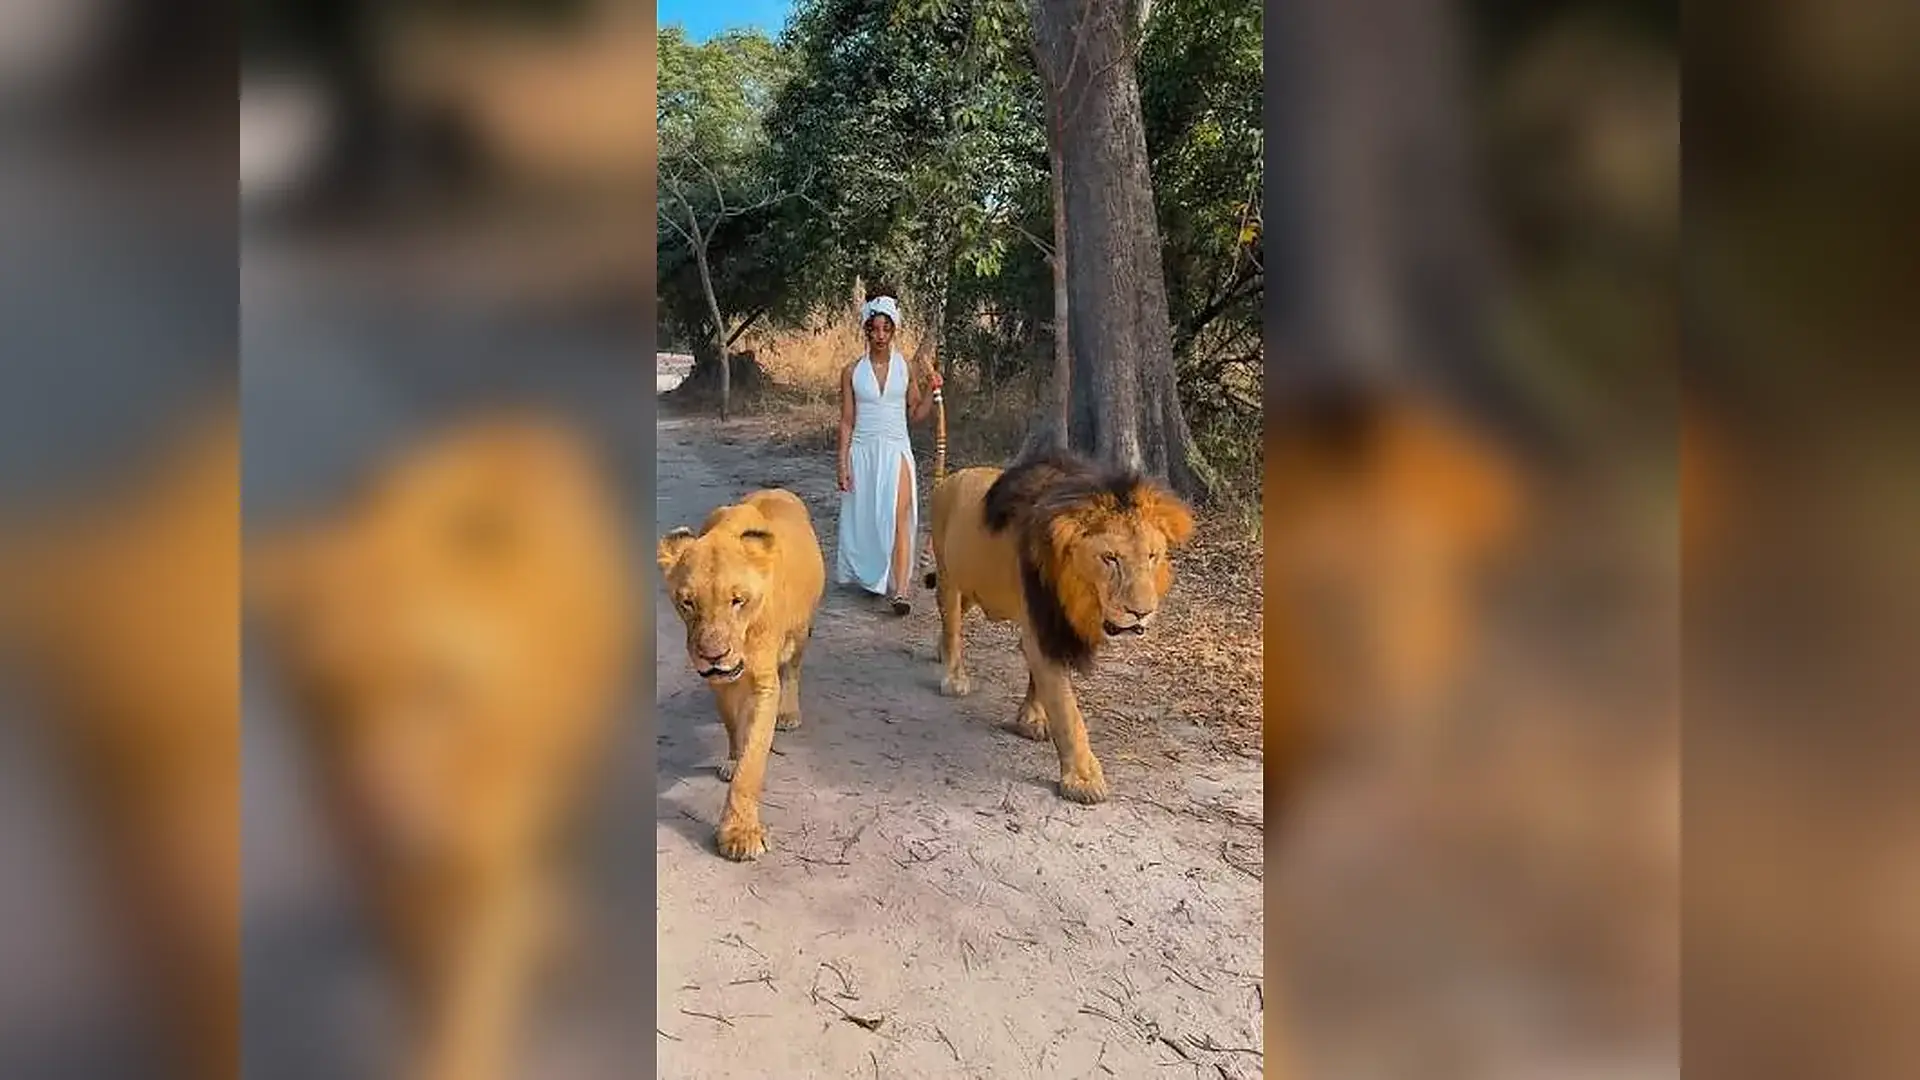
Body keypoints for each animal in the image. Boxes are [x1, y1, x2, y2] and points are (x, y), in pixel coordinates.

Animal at [245, 414, 637, 1080]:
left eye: (436, 684)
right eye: (323, 692)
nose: (374, 821)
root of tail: (514, 424)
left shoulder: (486, 862)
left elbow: (470, 993)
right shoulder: (384, 872)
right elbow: (416, 967)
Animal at [658, 488, 826, 861]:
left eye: (738, 600)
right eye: (687, 603)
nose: (713, 655)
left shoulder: (764, 685)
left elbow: (753, 760)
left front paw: (740, 833)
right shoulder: (719, 684)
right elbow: (734, 726)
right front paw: (732, 762)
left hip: (800, 630)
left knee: (793, 670)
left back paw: (790, 714)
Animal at [925, 450, 1195, 804]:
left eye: (1152, 556)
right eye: (1110, 558)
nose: (1142, 613)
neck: (1074, 589)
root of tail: (951, 478)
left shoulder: (1051, 625)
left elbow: (1040, 683)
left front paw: (1031, 719)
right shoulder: (1042, 624)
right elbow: (1068, 713)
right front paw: (1082, 779)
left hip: (974, 586)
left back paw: (939, 651)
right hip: (949, 577)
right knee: (952, 623)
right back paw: (954, 676)